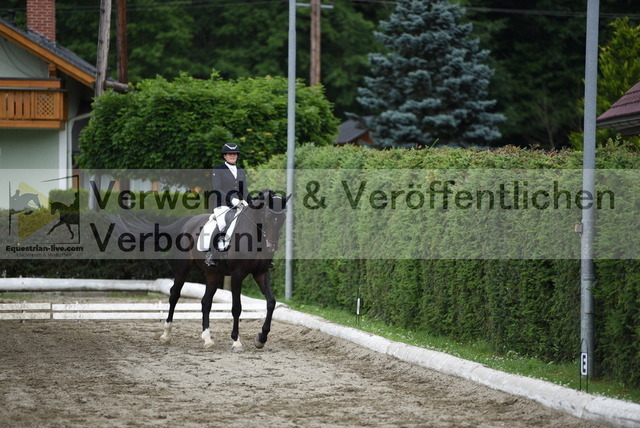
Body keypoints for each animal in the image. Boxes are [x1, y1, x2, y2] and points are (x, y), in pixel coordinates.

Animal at [119, 189, 289, 351]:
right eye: (267, 216)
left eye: (283, 218)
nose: (272, 246)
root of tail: (188, 221)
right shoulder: (237, 274)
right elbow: (236, 307)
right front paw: (236, 342)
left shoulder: (261, 273)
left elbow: (271, 302)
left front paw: (261, 338)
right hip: (184, 268)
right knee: (174, 294)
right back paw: (166, 335)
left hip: (213, 273)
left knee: (206, 301)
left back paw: (207, 339)